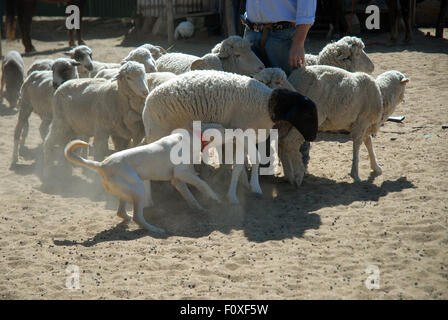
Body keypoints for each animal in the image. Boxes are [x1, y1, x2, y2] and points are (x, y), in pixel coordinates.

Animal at [64, 124, 228, 232]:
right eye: (223, 130)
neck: (193, 136)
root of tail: (102, 165)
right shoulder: (182, 173)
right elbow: (204, 184)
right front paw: (216, 198)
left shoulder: (177, 180)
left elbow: (190, 196)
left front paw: (199, 208)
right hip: (139, 189)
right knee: (138, 217)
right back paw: (155, 229)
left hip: (127, 191)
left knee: (121, 213)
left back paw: (129, 218)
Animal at [144, 71, 318, 204]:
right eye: (308, 114)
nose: (313, 136)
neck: (265, 104)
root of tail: (146, 104)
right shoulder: (244, 134)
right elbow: (254, 159)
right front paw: (254, 188)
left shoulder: (242, 139)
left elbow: (240, 164)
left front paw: (238, 190)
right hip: (160, 133)